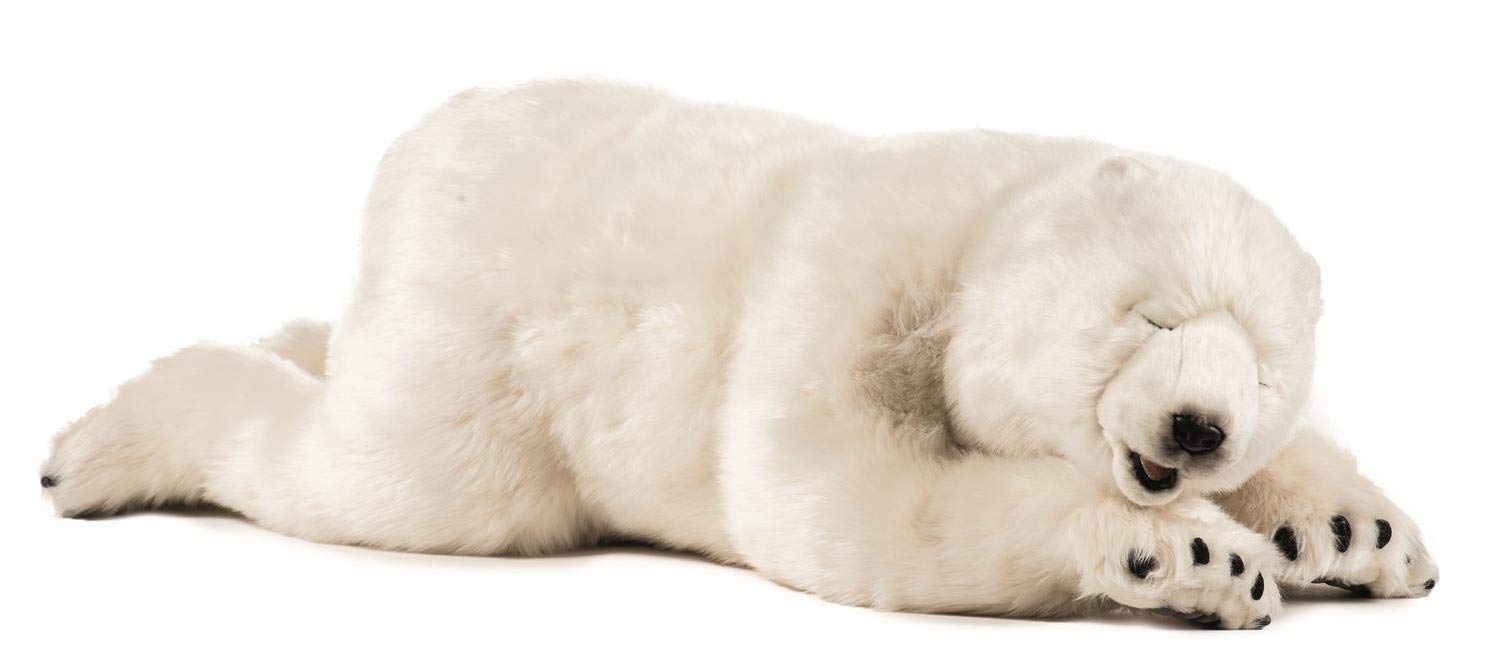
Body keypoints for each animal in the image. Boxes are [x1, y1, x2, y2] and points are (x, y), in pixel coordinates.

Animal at [41, 80, 1436, 629]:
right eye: (1150, 316)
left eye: (1262, 368)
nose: (1198, 430)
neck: (984, 227)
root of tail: (431, 134)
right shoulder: (851, 278)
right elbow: (831, 498)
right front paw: (1197, 554)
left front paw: (1356, 531)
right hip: (482, 355)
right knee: (379, 476)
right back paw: (96, 447)